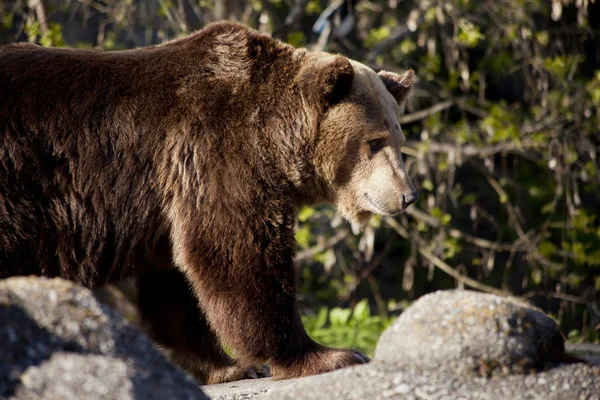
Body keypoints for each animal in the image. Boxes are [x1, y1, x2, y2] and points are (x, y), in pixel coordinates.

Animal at [0, 21, 420, 384]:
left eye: (399, 140)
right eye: (374, 141)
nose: (407, 195)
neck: (276, 137)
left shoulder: (169, 199)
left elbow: (178, 284)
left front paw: (228, 366)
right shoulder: (216, 150)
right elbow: (238, 254)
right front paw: (328, 354)